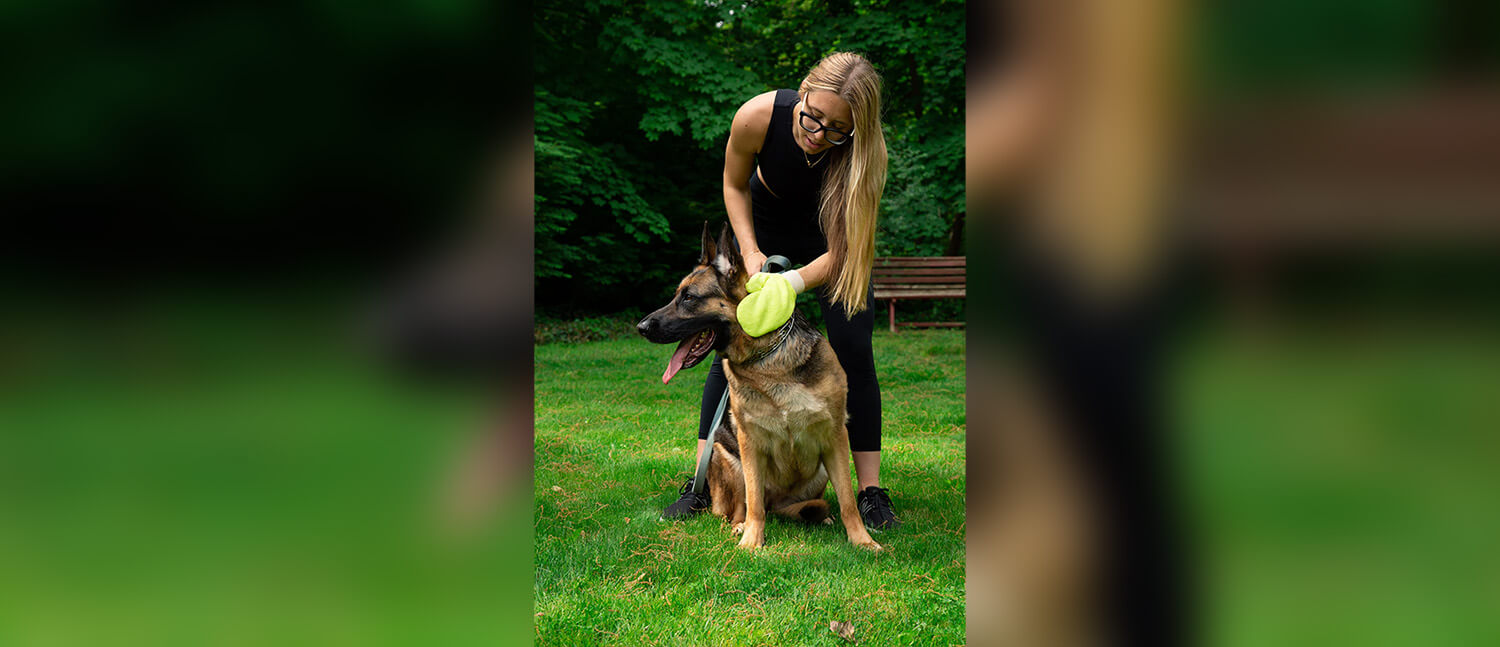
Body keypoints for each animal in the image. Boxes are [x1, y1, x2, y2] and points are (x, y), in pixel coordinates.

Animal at [639, 225, 882, 549]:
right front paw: (752, 541)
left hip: (819, 472)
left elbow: (847, 501)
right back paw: (740, 526)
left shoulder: (835, 436)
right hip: (726, 457)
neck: (767, 358)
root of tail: (778, 503)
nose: (641, 327)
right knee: (742, 507)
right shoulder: (749, 443)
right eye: (678, 295)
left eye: (689, 297)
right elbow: (753, 501)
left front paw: (862, 540)